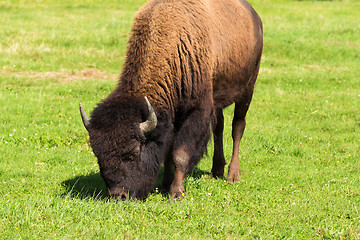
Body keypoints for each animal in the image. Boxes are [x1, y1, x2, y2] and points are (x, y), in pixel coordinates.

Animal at [80, 0, 262, 200]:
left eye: (134, 152)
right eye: (98, 155)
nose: (118, 195)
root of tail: (254, 16)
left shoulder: (196, 112)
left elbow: (180, 154)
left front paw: (176, 192)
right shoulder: (172, 115)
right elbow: (167, 152)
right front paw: (165, 185)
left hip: (248, 89)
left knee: (237, 127)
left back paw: (233, 175)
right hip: (219, 99)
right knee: (218, 127)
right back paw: (217, 170)